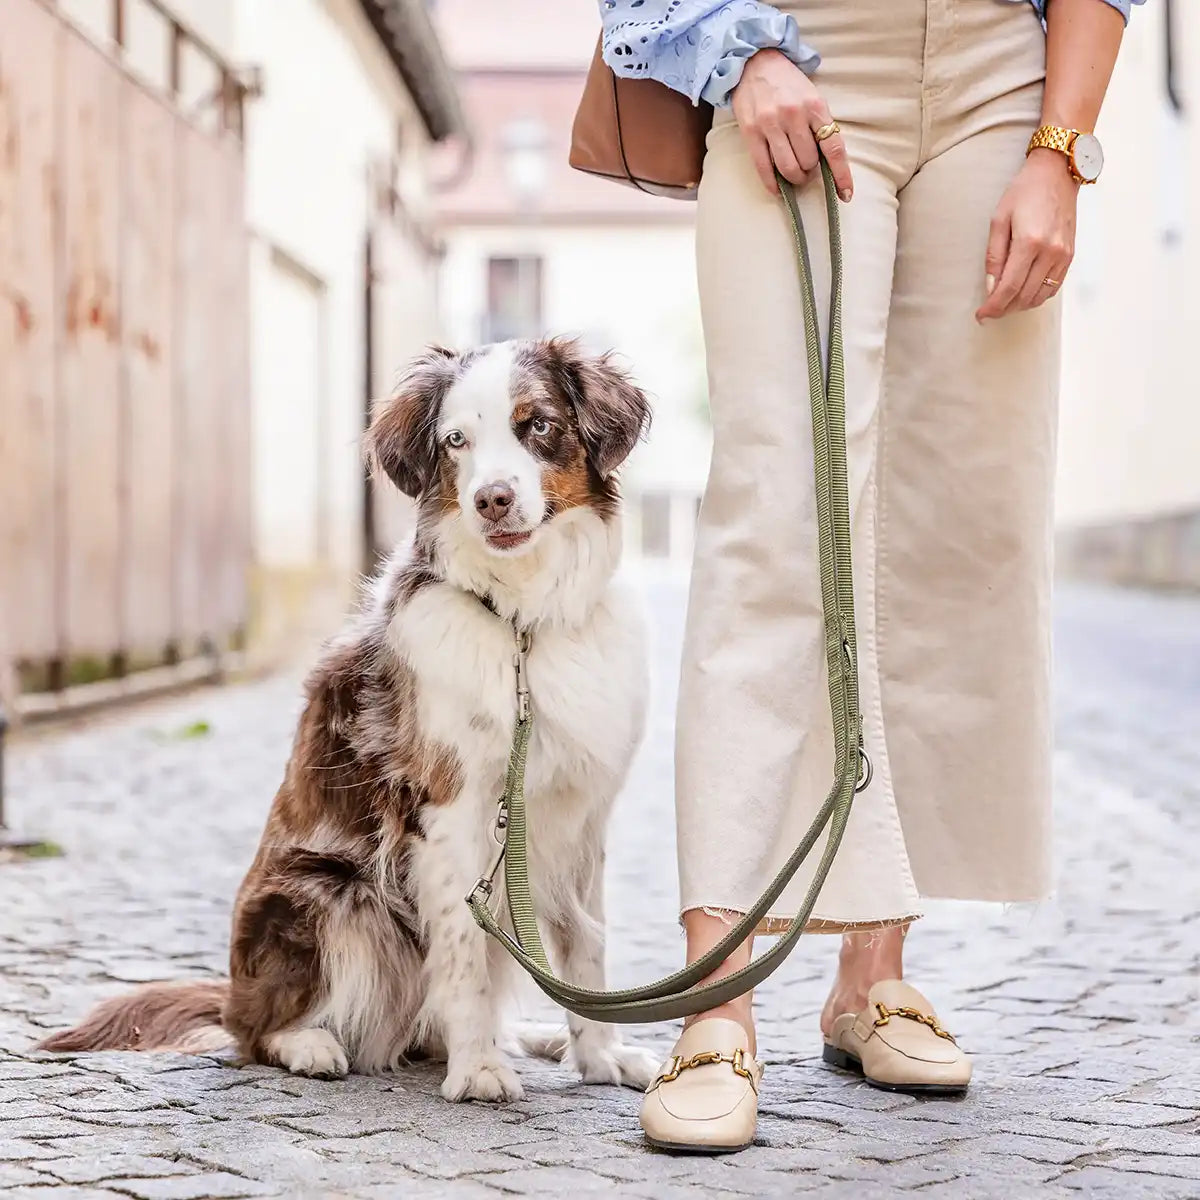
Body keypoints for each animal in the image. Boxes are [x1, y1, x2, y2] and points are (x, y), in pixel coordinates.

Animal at [39, 338, 657, 1104]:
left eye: (537, 424)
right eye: (456, 441)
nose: (492, 499)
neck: (521, 620)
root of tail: (234, 992)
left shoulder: (581, 816)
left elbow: (586, 944)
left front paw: (600, 1056)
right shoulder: (451, 812)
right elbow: (463, 957)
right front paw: (478, 1069)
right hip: (329, 896)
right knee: (255, 1032)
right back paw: (312, 1045)